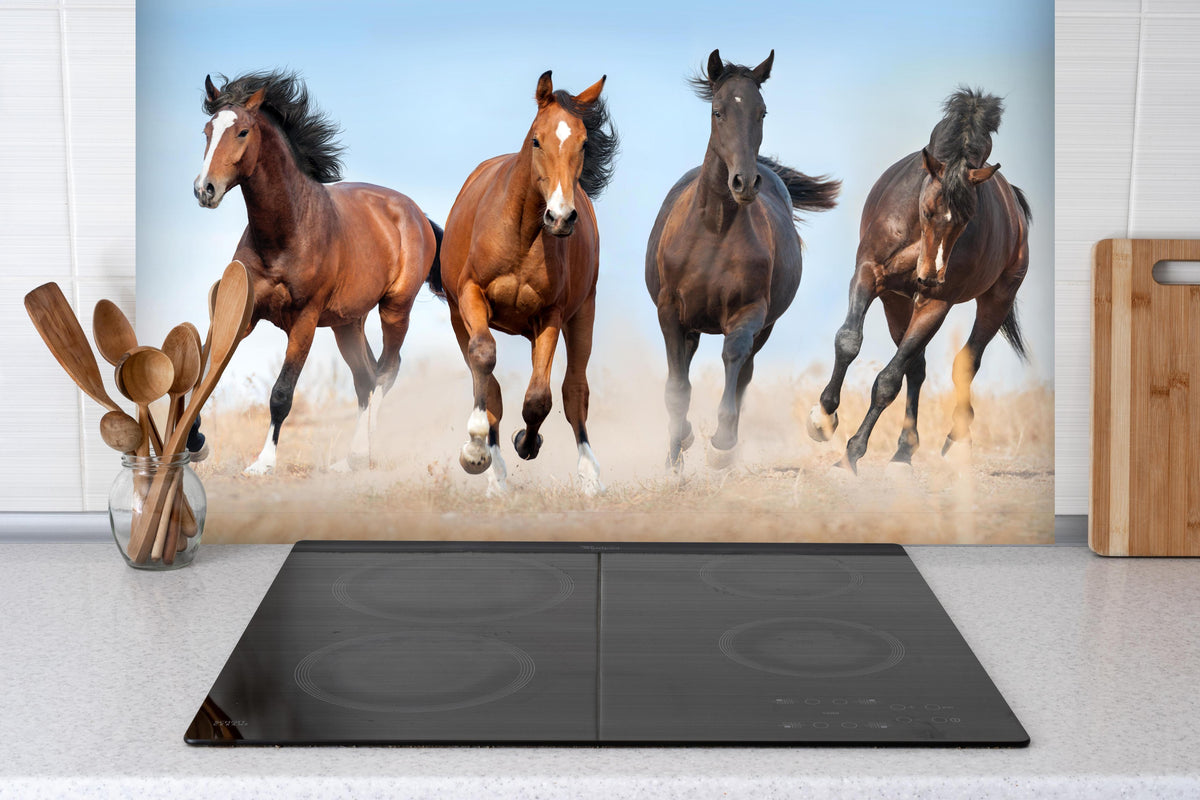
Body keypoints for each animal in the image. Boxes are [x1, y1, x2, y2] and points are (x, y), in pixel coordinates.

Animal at [193, 70, 440, 475]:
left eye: (243, 131)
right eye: (207, 131)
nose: (205, 190)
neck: (287, 231)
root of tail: (416, 213)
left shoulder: (305, 321)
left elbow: (281, 392)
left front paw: (263, 463)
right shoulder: (246, 314)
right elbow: (201, 373)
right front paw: (193, 440)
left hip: (395, 309)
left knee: (386, 372)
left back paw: (361, 454)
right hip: (348, 322)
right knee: (365, 378)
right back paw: (349, 460)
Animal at [429, 71, 618, 496]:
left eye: (583, 143)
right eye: (536, 139)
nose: (560, 218)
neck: (522, 233)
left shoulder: (552, 315)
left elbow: (539, 398)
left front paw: (526, 442)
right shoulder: (470, 297)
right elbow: (485, 362)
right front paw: (475, 451)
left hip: (582, 313)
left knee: (574, 389)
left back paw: (589, 474)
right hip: (459, 317)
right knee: (490, 383)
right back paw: (495, 473)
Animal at [645, 49, 840, 467]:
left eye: (761, 111)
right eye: (718, 111)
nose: (744, 182)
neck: (714, 230)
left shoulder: (750, 311)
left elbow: (733, 357)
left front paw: (722, 442)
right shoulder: (670, 311)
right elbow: (676, 386)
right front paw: (676, 452)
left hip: (764, 326)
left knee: (745, 368)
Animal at [805, 87, 1032, 473]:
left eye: (967, 219)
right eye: (927, 210)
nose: (930, 276)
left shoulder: (936, 303)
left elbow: (887, 381)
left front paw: (852, 452)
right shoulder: (869, 275)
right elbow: (849, 341)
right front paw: (822, 419)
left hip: (996, 300)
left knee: (964, 362)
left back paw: (952, 441)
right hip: (897, 302)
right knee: (917, 367)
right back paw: (904, 451)